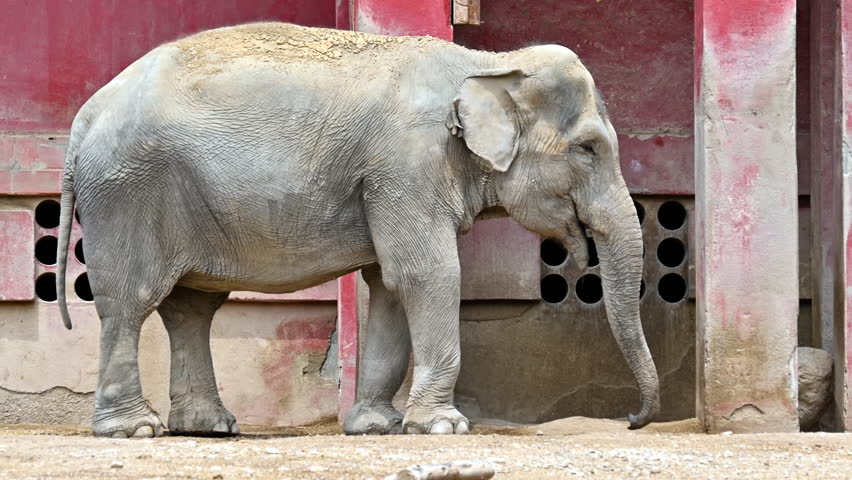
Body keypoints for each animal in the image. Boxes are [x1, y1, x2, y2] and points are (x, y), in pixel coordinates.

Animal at [56, 22, 659, 438]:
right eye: (588, 149)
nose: (632, 420)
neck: (489, 64)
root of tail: (84, 118)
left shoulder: (393, 178)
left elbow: (389, 285)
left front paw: (378, 427)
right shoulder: (406, 164)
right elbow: (426, 273)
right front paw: (441, 428)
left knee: (191, 306)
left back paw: (207, 428)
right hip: (128, 191)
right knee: (130, 299)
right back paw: (135, 429)